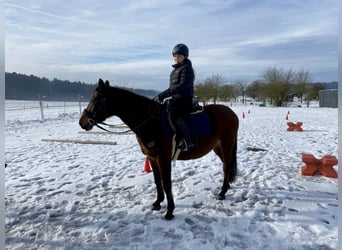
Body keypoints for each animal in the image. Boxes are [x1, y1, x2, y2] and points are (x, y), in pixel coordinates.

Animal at [78, 79, 238, 220]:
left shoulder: (163, 159)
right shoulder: (152, 157)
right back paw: (226, 188)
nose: (82, 122)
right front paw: (157, 203)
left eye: (97, 99)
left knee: (226, 166)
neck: (151, 122)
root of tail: (231, 112)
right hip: (217, 147)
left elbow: (166, 183)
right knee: (228, 166)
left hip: (226, 144)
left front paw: (169, 211)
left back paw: (222, 193)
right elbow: (157, 181)